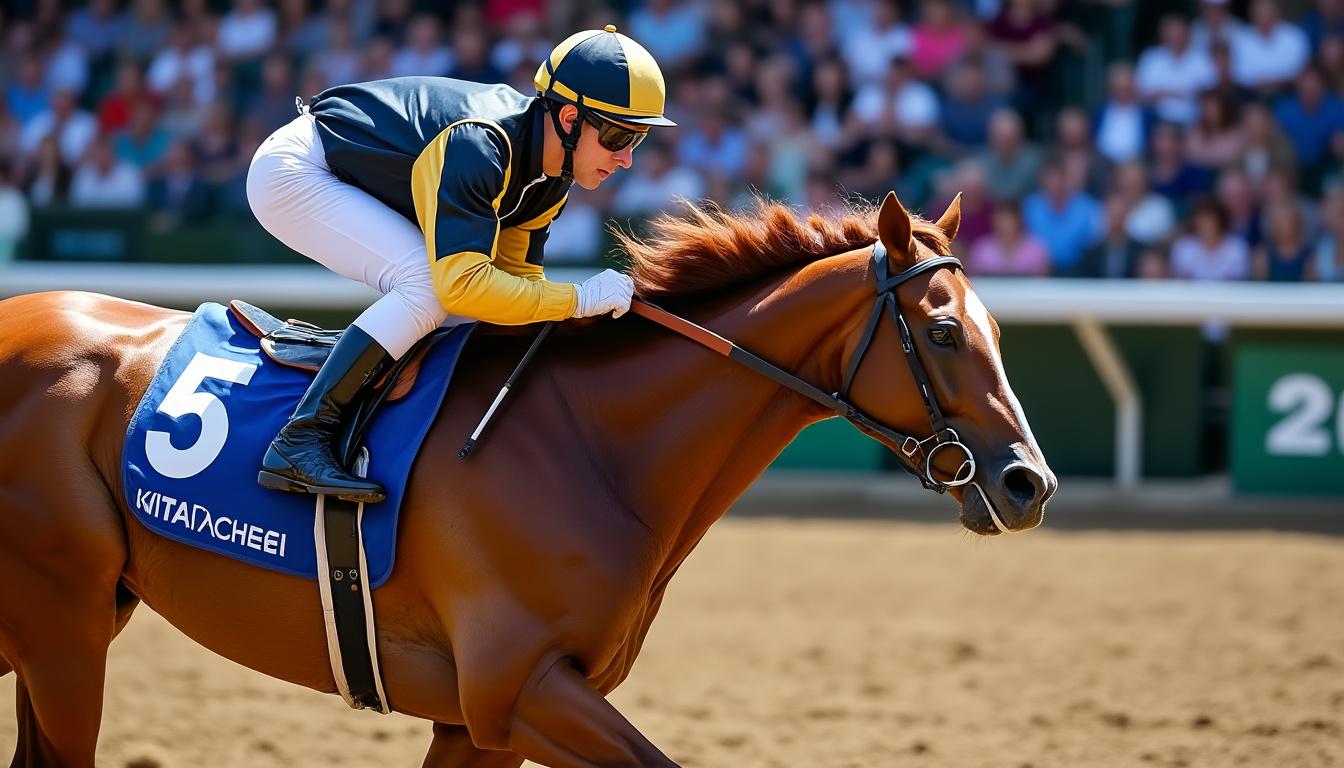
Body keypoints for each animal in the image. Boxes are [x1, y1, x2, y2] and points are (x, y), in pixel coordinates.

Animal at [0, 191, 1054, 767]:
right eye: (946, 332)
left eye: (1001, 332)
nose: (1026, 484)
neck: (592, 447)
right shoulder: (521, 687)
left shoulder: (485, 721)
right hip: (62, 626)